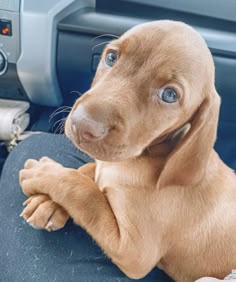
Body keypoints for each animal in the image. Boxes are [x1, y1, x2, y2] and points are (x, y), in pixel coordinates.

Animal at [19, 21, 236, 282]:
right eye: (111, 57)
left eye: (169, 95)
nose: (82, 125)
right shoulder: (104, 165)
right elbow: (86, 171)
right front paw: (47, 204)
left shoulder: (134, 252)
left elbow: (86, 195)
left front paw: (45, 173)